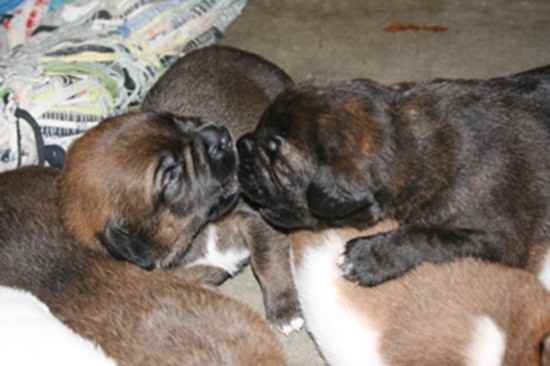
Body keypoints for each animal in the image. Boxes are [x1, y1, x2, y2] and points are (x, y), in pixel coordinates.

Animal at [240, 66, 550, 288]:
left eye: (276, 159)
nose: (241, 144)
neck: (402, 135)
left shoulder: (499, 239)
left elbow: (429, 236)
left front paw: (369, 256)